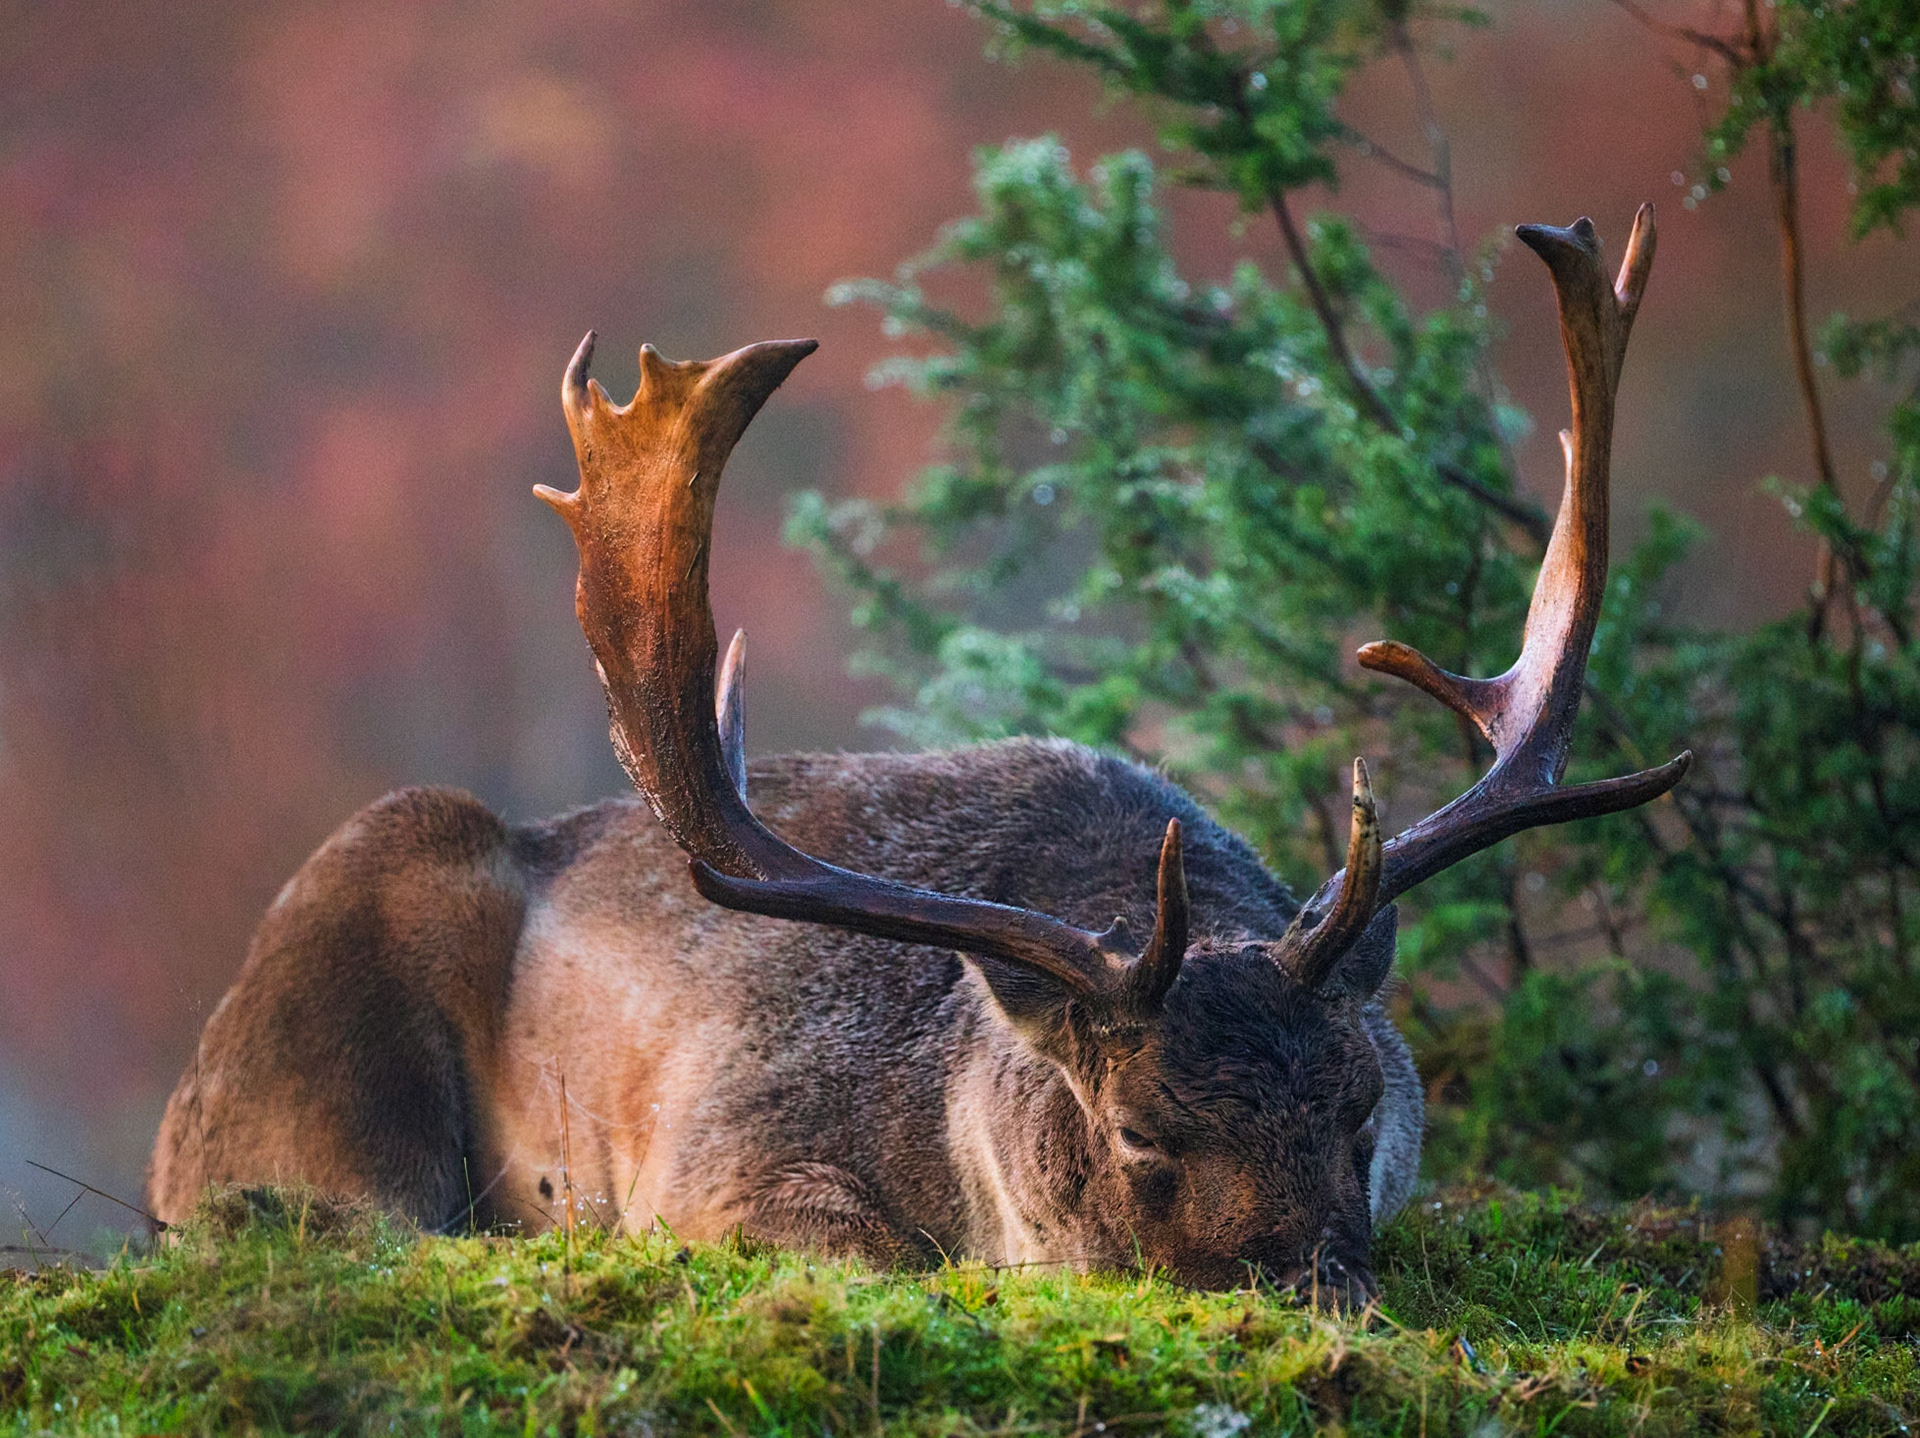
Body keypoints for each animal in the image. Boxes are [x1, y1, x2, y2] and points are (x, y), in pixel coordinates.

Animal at [147, 209, 1687, 1300]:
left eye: (1363, 1106)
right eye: (1141, 1129)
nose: (1316, 1294)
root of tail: (176, 1117)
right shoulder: (721, 1161)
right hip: (323, 1052)